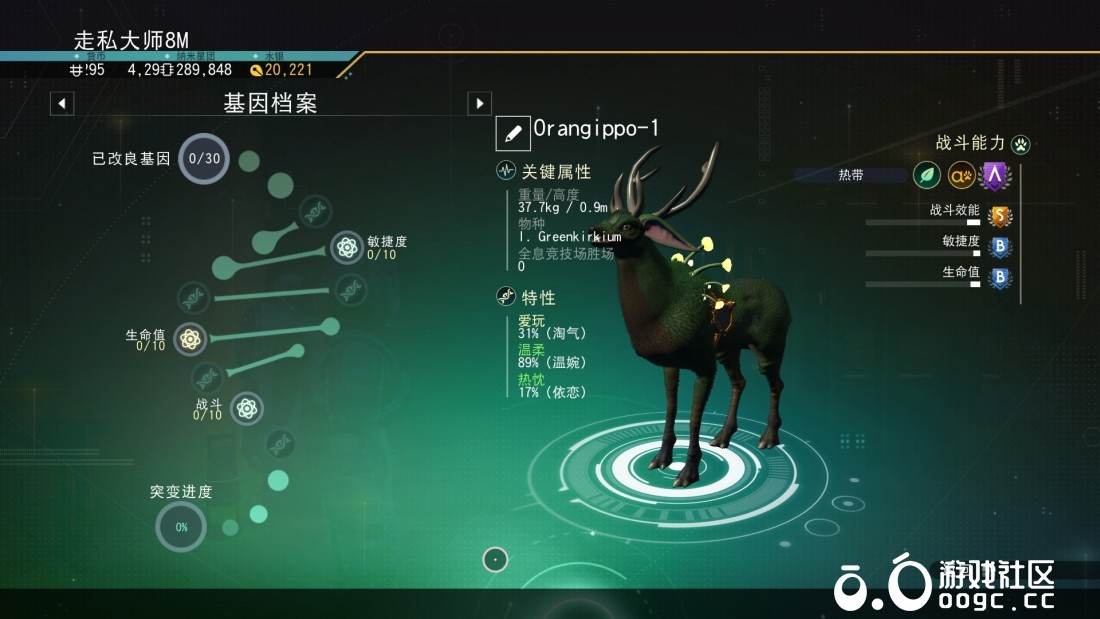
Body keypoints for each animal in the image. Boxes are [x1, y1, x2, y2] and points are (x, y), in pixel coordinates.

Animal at [589, 143, 792, 488]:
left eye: (629, 225)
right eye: (607, 216)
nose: (594, 231)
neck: (661, 311)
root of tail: (783, 294)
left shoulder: (703, 363)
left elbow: (695, 419)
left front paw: (687, 472)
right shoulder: (672, 363)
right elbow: (671, 409)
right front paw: (661, 459)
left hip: (770, 345)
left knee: (775, 382)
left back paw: (768, 436)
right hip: (728, 349)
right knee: (740, 381)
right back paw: (723, 436)